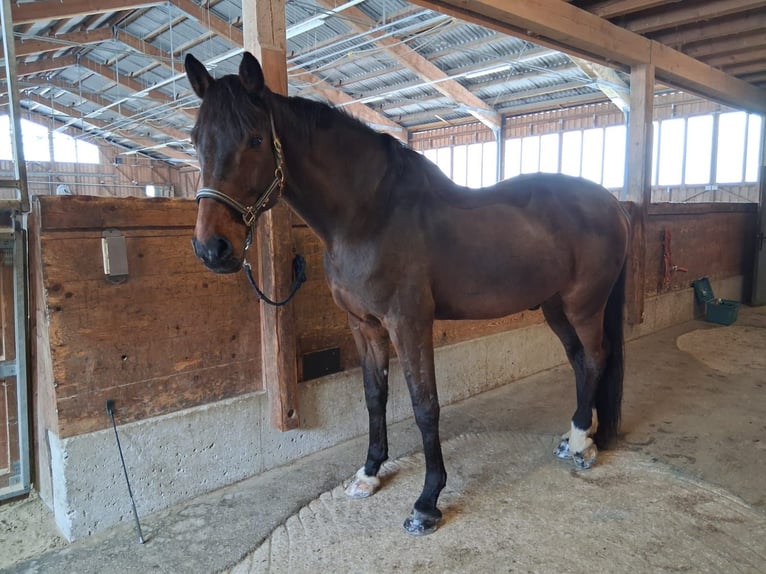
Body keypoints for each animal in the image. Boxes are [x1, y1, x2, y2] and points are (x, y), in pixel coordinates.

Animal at [184, 51, 630, 536]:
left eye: (255, 139)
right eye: (195, 139)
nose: (212, 248)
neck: (368, 216)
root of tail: (611, 203)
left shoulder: (409, 323)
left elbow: (424, 405)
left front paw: (427, 501)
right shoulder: (365, 326)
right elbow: (374, 397)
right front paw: (369, 473)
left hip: (583, 306)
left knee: (596, 358)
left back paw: (584, 444)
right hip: (554, 307)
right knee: (579, 361)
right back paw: (576, 436)